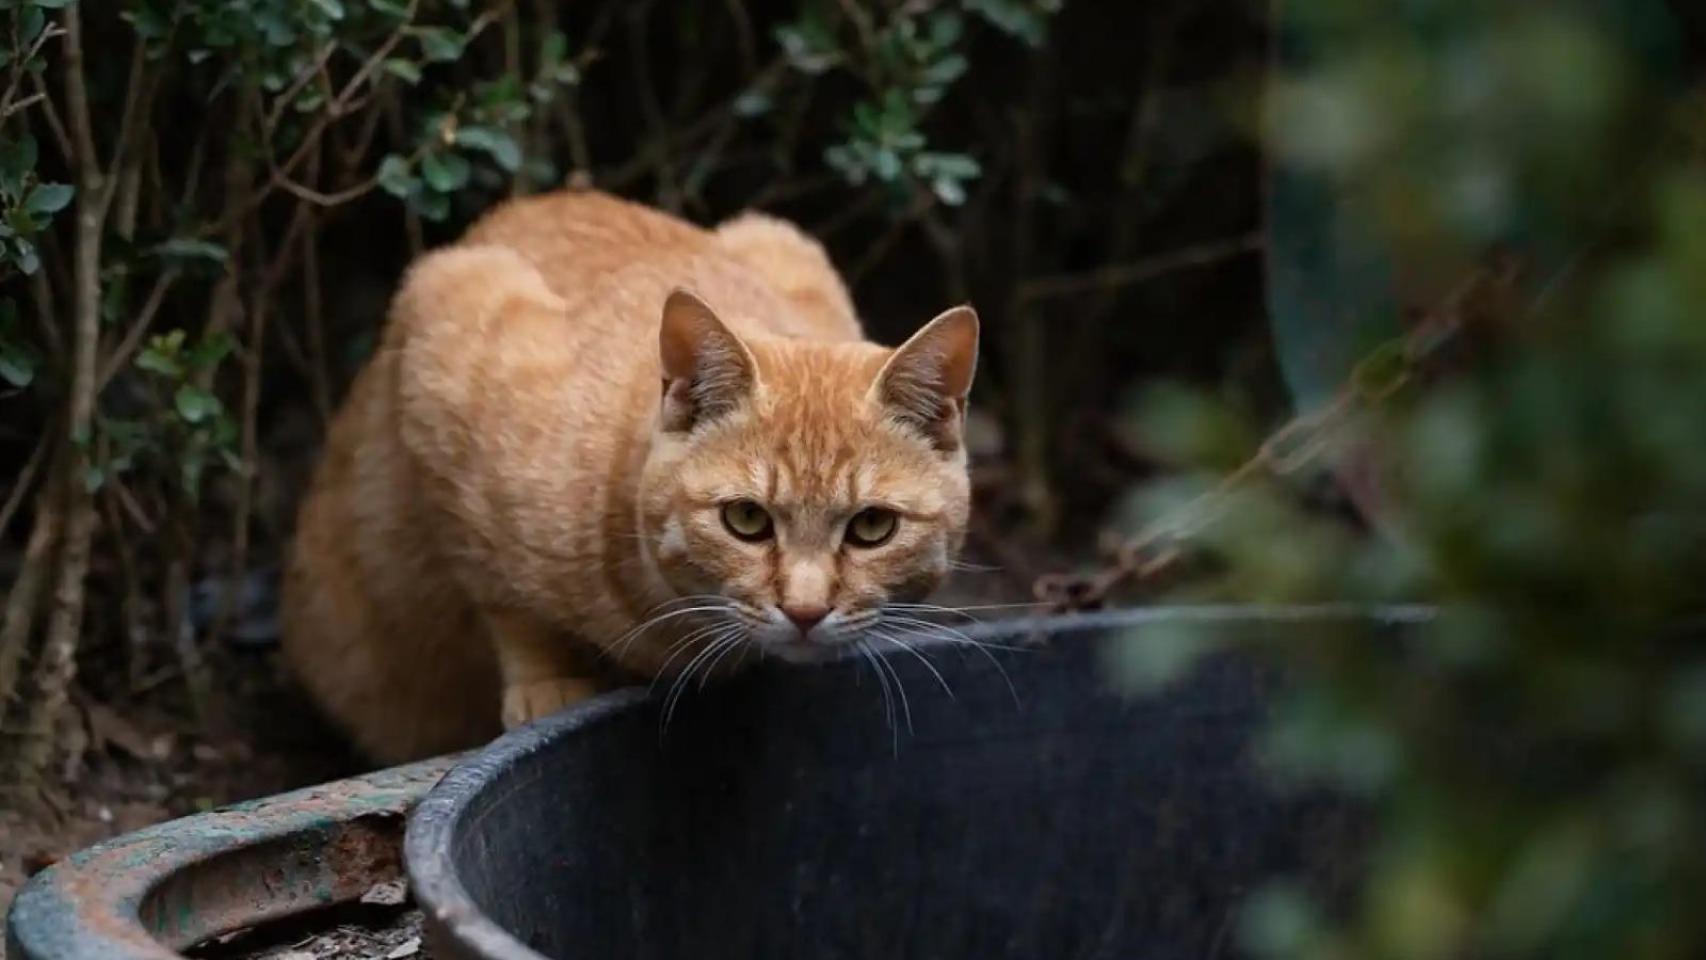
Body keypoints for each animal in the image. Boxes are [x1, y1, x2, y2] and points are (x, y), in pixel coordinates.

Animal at [279, 191, 975, 763]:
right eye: (746, 519)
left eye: (872, 527)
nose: (805, 612)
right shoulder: (447, 321)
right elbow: (505, 599)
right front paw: (547, 684)